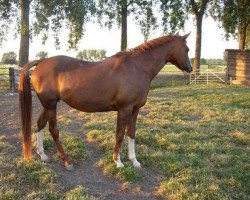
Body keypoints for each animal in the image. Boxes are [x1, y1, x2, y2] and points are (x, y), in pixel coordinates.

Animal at [19, 33, 191, 170]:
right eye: (187, 49)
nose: (189, 68)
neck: (137, 68)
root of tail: (41, 61)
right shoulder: (125, 109)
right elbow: (120, 134)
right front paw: (118, 161)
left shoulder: (135, 109)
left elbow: (131, 133)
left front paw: (134, 161)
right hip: (51, 105)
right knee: (53, 130)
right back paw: (67, 161)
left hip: (48, 104)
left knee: (40, 124)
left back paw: (42, 155)